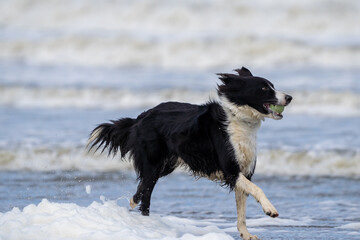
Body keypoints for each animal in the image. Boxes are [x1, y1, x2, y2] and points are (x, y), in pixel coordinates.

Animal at [88, 67, 292, 240]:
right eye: (264, 88)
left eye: (272, 85)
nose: (289, 97)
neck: (240, 119)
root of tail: (140, 117)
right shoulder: (231, 171)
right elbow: (257, 189)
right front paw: (270, 209)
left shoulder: (244, 171)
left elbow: (242, 210)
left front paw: (246, 234)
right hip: (153, 165)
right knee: (142, 193)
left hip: (165, 166)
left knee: (143, 193)